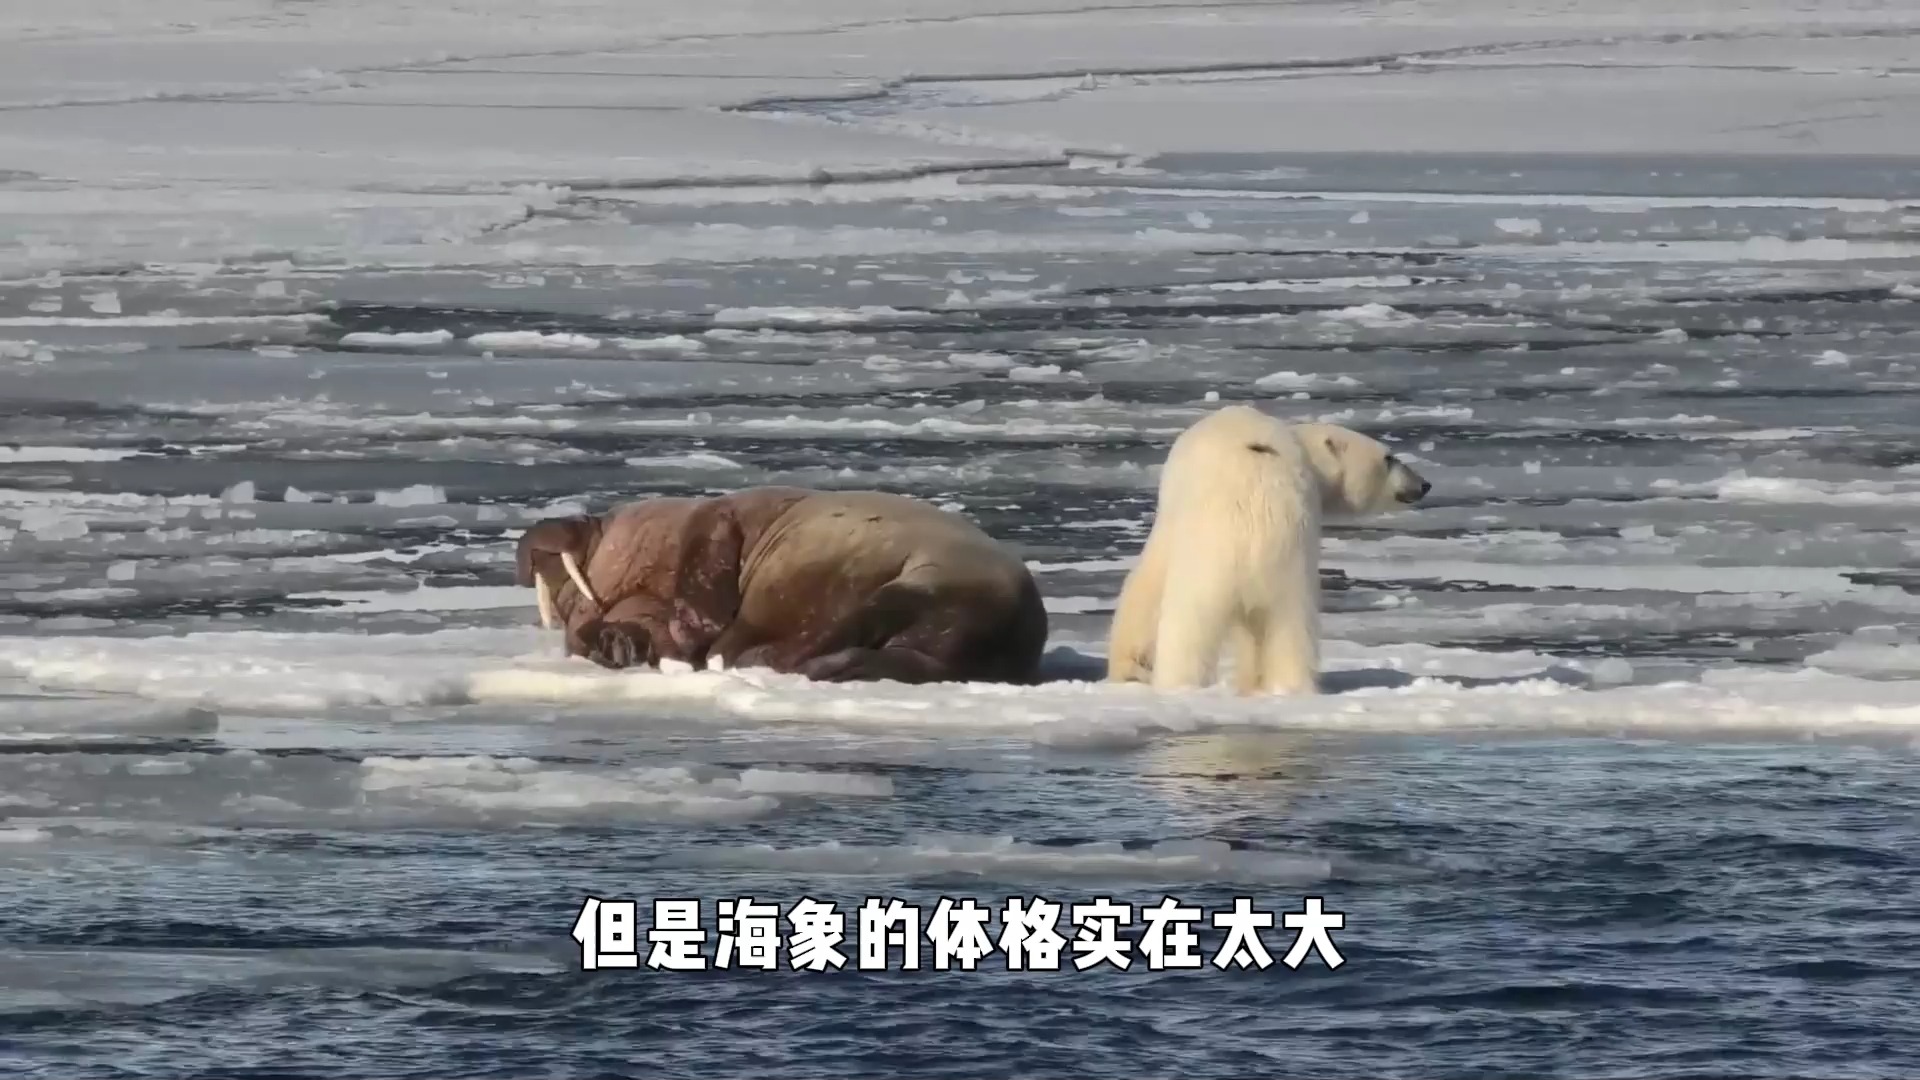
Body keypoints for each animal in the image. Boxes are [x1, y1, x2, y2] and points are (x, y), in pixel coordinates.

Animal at [1104, 404, 1431, 695]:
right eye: (1389, 457)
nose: (1424, 484)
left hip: (1214, 564)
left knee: (1188, 628)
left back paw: (1179, 686)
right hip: (1289, 570)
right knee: (1291, 632)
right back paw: (1290, 688)